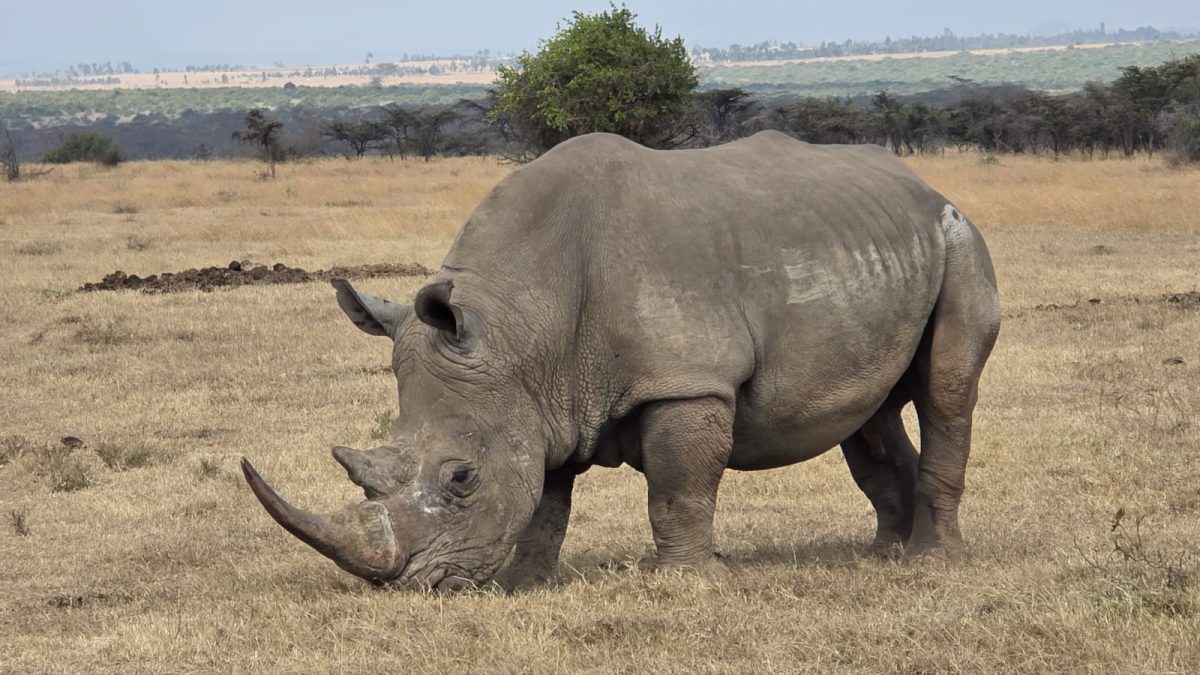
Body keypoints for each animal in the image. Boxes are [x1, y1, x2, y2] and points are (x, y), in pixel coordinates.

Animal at [242, 131, 1001, 590]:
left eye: (461, 478)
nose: (413, 585)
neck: (519, 326)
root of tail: (923, 184)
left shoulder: (686, 382)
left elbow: (678, 487)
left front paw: (688, 582)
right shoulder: (538, 397)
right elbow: (545, 498)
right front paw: (525, 583)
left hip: (960, 236)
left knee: (946, 390)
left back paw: (935, 560)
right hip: (872, 246)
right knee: (868, 415)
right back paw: (882, 555)